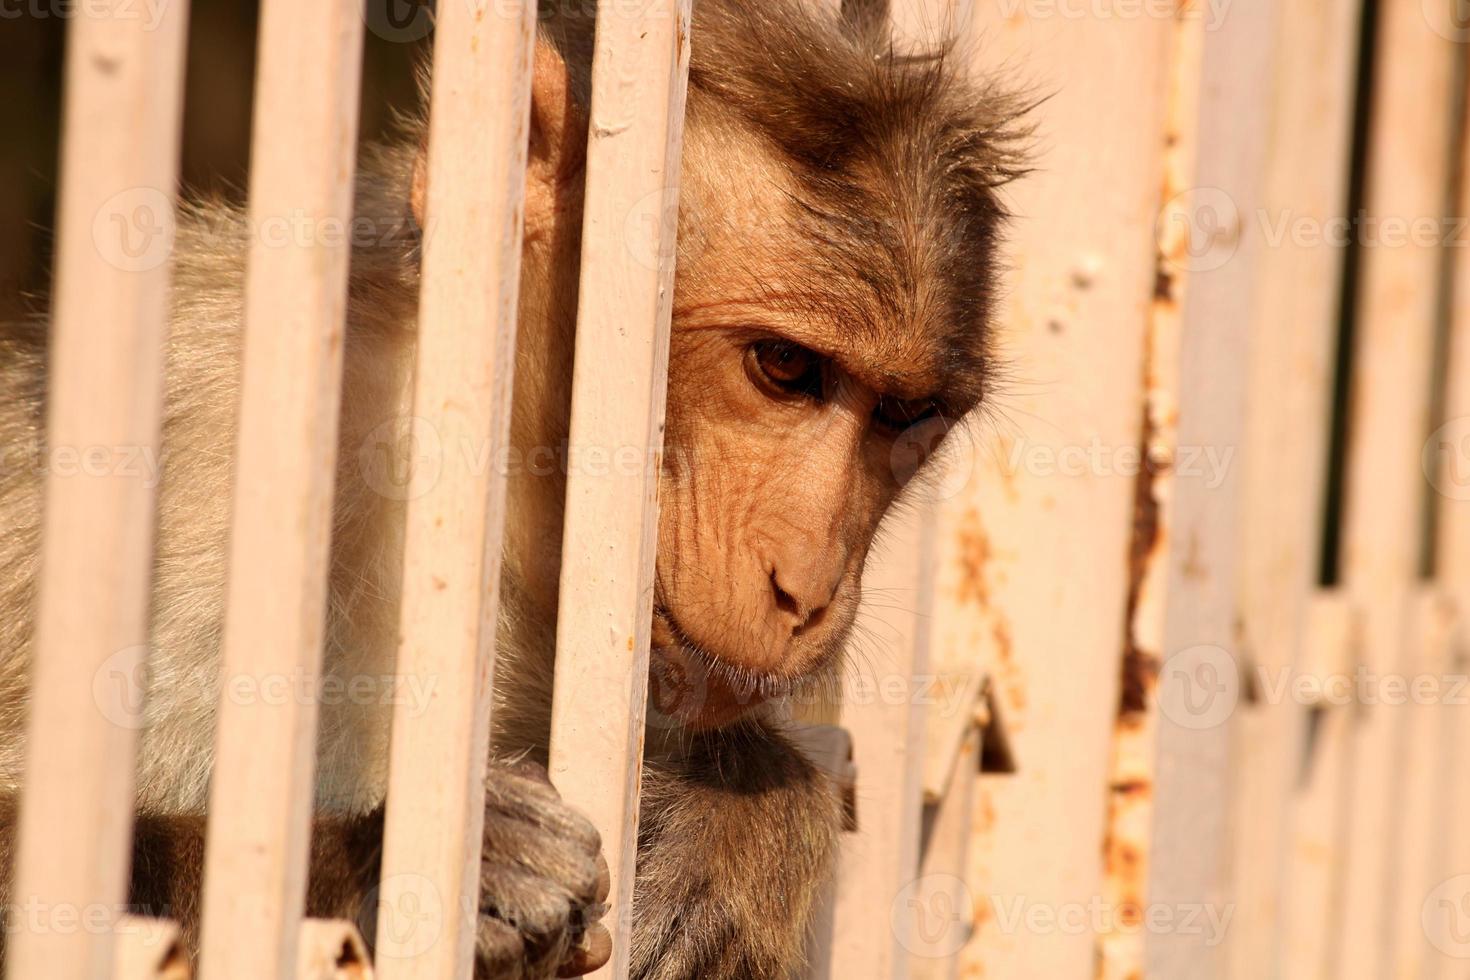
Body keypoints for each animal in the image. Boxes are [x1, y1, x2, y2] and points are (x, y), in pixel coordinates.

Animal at [0, 0, 1029, 975]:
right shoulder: (192, 450)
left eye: (908, 415)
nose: (809, 588)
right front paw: (406, 867)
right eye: (784, 368)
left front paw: (746, 805)